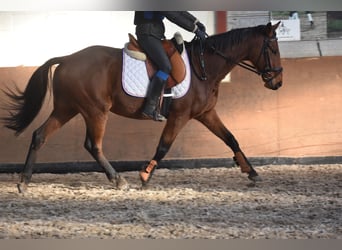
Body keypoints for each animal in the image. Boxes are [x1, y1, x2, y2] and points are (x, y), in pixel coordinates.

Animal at [1, 22, 282, 193]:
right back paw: (117, 179)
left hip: (66, 109)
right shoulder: (180, 116)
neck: (205, 65)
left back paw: (24, 182)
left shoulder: (205, 114)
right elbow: (164, 146)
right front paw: (145, 176)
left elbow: (231, 138)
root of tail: (68, 58)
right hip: (95, 110)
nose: (277, 82)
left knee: (40, 135)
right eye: (273, 48)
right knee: (93, 145)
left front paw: (251, 171)